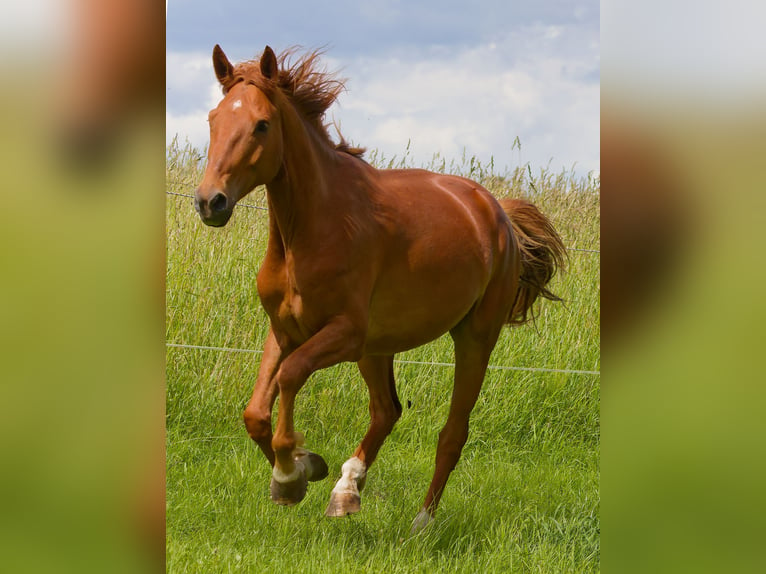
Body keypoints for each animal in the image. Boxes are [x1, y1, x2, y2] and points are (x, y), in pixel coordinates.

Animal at [195, 46, 568, 536]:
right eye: (213, 118)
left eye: (262, 124)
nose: (210, 202)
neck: (313, 228)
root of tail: (498, 212)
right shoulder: (285, 329)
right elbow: (255, 414)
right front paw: (303, 468)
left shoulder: (344, 333)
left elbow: (290, 376)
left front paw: (292, 475)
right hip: (378, 347)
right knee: (386, 410)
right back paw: (346, 491)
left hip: (472, 338)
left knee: (452, 433)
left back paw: (420, 524)